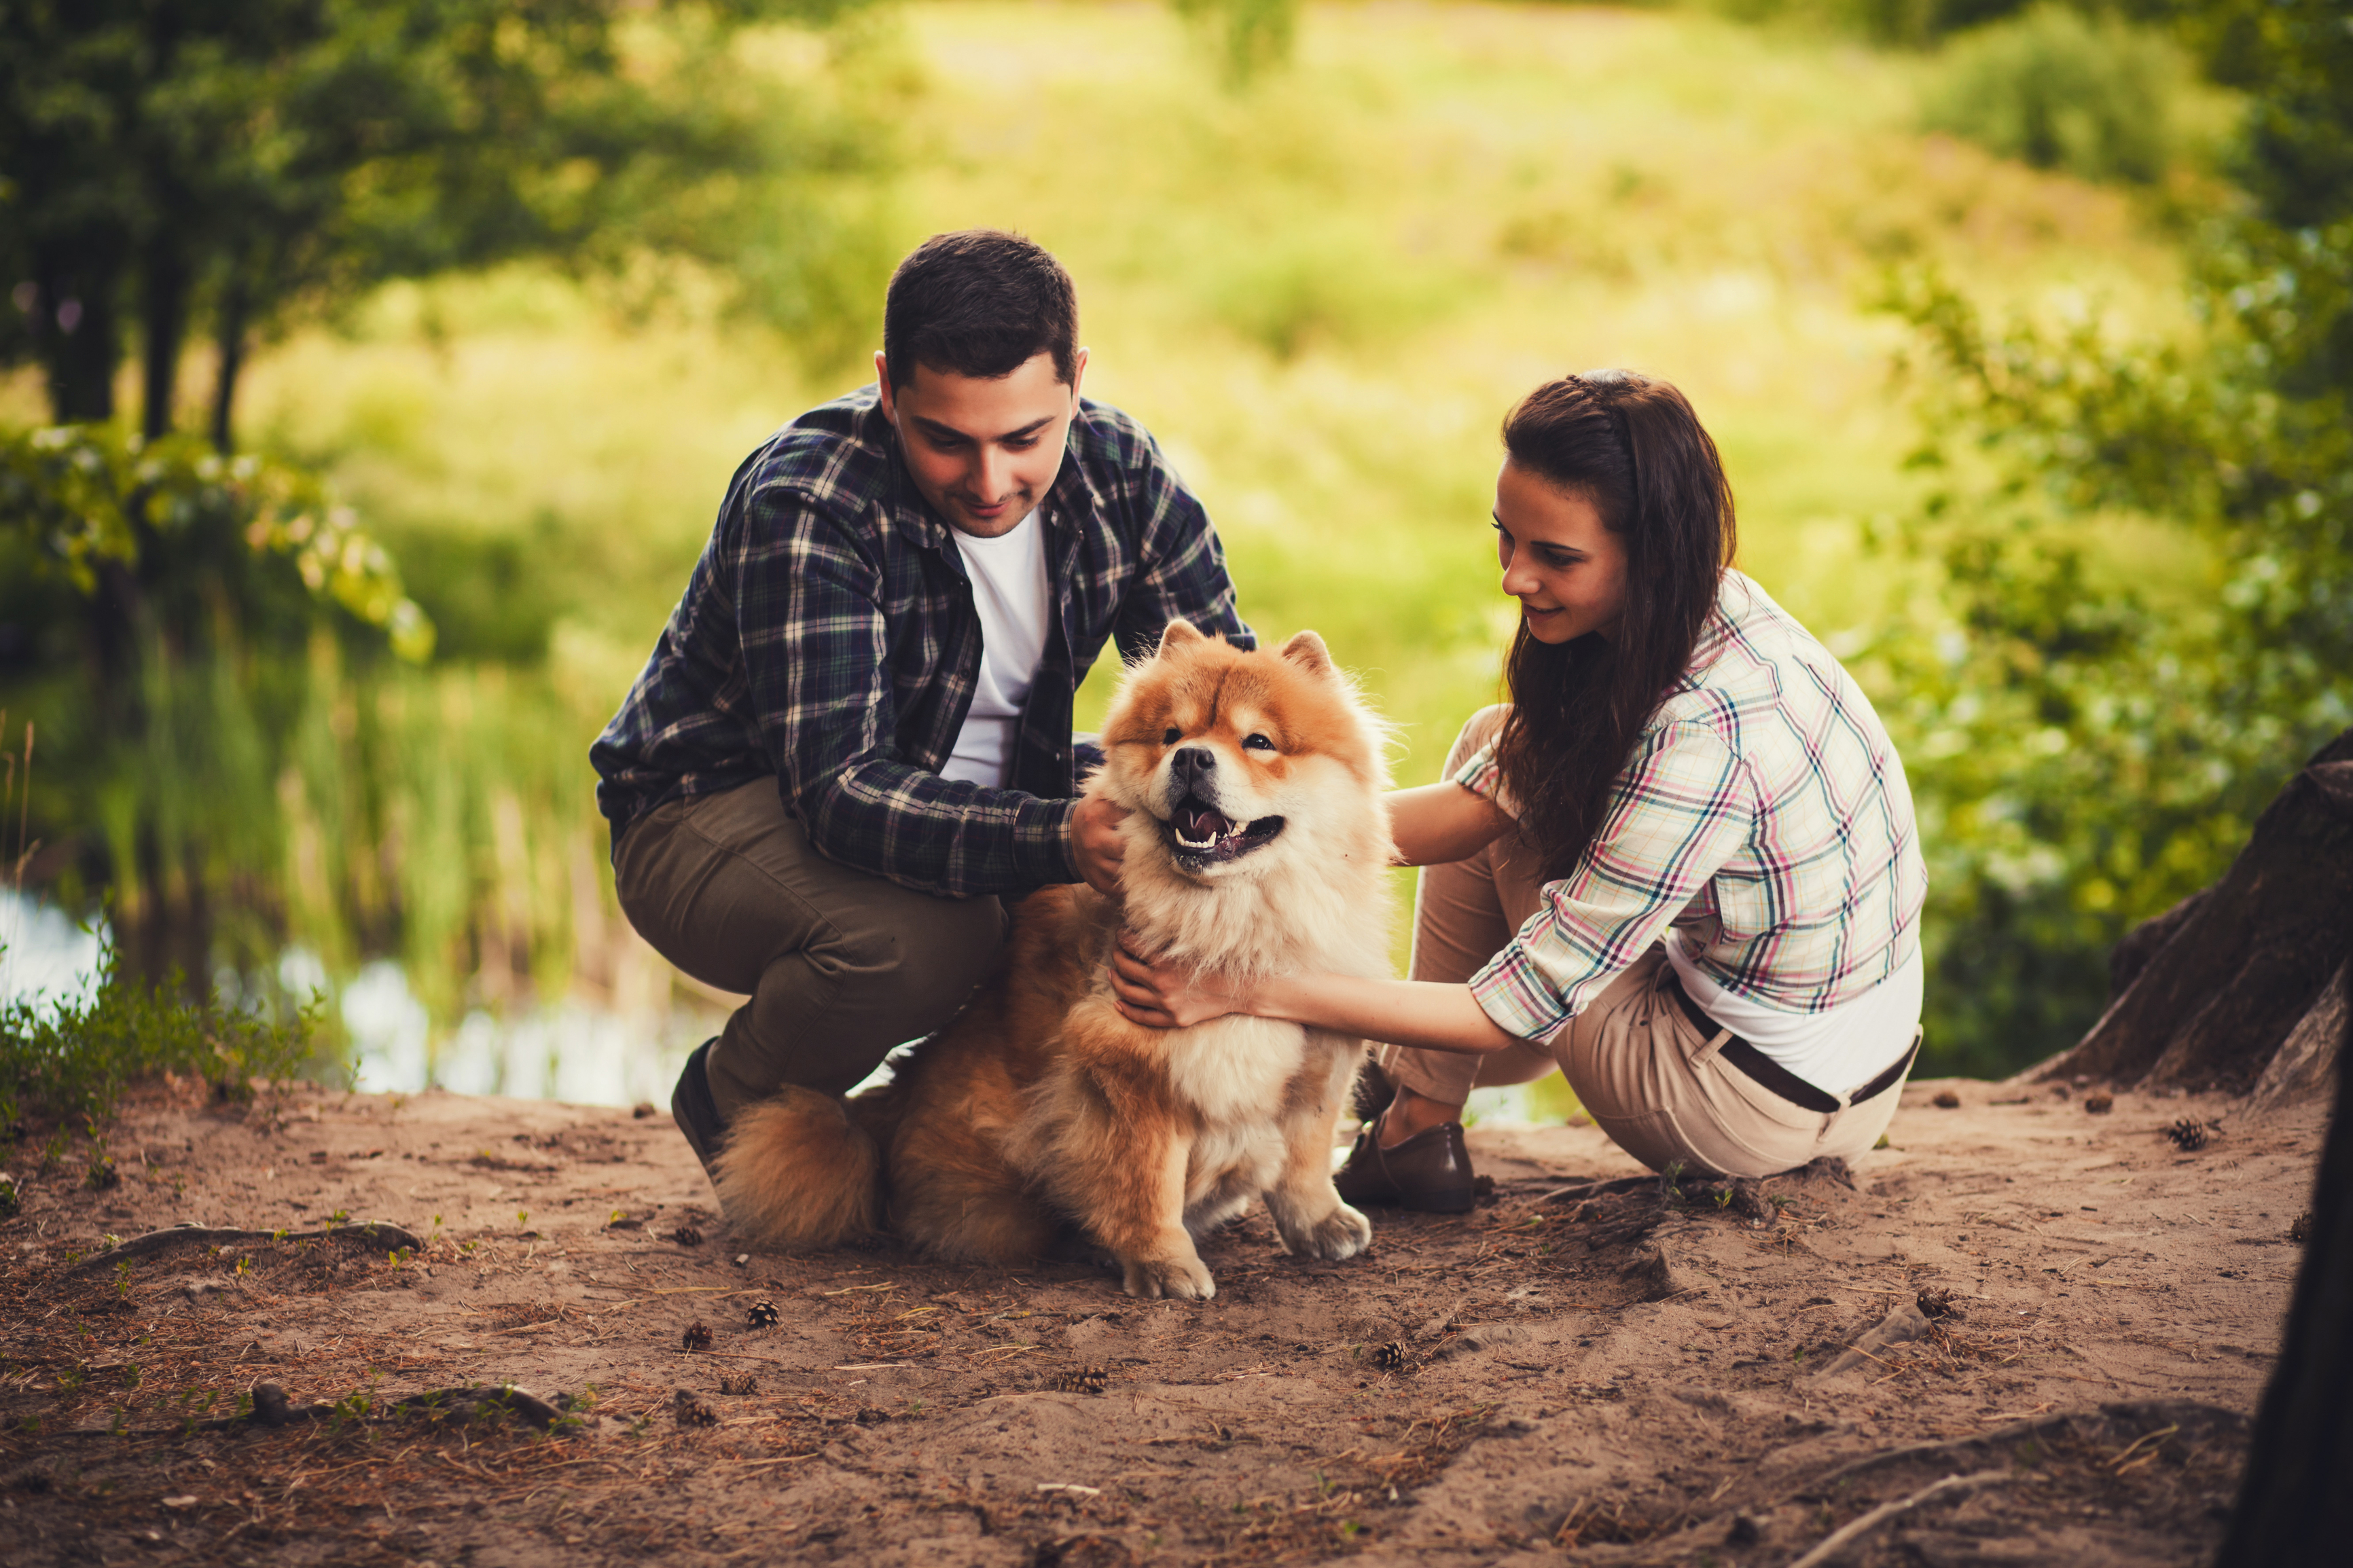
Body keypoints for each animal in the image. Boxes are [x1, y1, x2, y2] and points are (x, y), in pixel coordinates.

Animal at [706, 620, 1383, 1297]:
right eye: (1171, 735)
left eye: (1259, 741)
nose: (1192, 757)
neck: (1236, 925)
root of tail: (882, 1118)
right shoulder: (1135, 1065)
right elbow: (1149, 1179)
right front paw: (1164, 1264)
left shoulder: (1320, 1043)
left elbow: (1305, 1152)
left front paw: (1321, 1224)